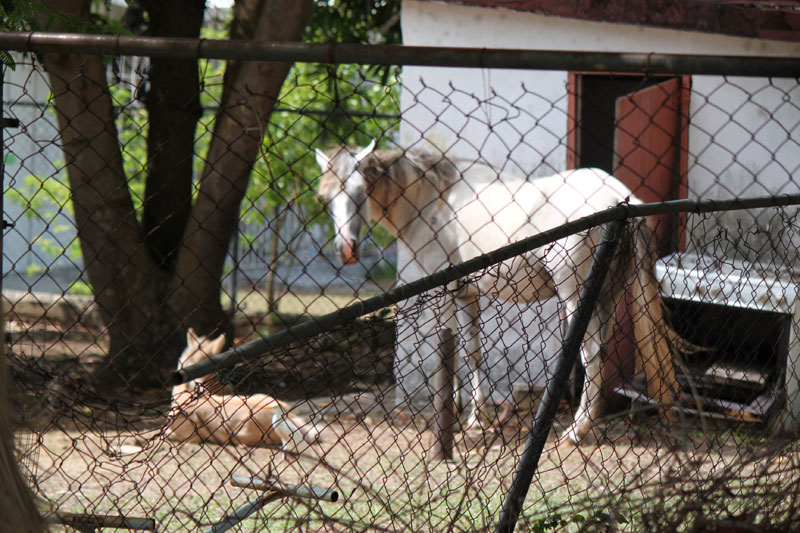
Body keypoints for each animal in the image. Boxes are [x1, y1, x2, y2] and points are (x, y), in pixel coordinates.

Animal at [316, 140, 692, 440]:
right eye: (326, 198)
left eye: (359, 192)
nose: (346, 250)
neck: (436, 200)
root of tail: (619, 196)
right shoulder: (467, 294)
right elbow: (471, 352)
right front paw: (475, 416)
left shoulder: (446, 293)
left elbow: (449, 351)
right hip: (608, 295)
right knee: (600, 351)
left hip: (576, 296)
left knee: (590, 354)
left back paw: (576, 430)